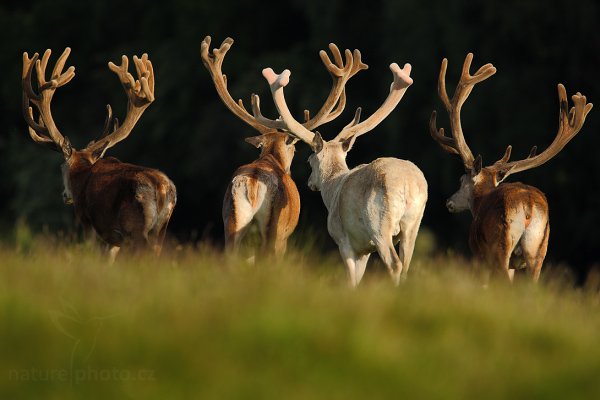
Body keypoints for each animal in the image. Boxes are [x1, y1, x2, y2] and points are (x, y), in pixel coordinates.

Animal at [22, 47, 176, 262]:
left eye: (61, 167)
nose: (65, 195)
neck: (81, 175)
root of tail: (162, 189)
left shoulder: (88, 222)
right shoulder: (113, 239)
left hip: (136, 227)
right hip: (161, 229)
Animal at [202, 37, 366, 256]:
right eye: (295, 149)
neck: (271, 157)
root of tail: (252, 184)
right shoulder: (286, 235)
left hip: (232, 223)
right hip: (275, 231)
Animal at [255, 61, 428, 286]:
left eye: (309, 160)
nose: (310, 182)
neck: (333, 189)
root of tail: (408, 185)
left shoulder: (344, 239)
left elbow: (351, 280)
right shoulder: (365, 248)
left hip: (380, 224)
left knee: (394, 263)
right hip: (413, 224)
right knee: (406, 264)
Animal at [428, 53, 592, 282]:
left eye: (461, 180)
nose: (449, 202)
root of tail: (529, 206)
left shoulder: (479, 253)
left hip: (500, 246)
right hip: (539, 249)